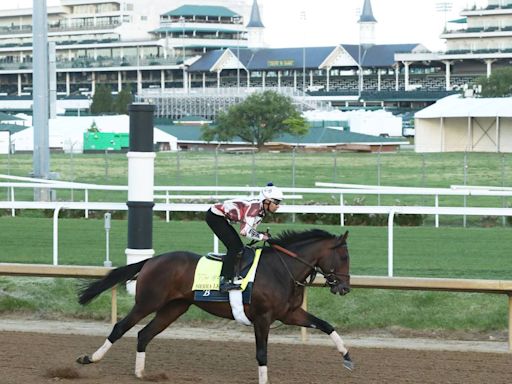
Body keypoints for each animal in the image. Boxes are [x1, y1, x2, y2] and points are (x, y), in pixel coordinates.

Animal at [77, 230, 352, 382]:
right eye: (344, 256)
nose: (345, 288)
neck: (281, 270)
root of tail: (152, 260)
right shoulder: (263, 317)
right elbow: (262, 353)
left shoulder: (290, 314)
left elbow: (326, 325)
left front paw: (347, 357)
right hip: (147, 302)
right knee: (121, 328)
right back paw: (90, 358)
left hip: (174, 308)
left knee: (144, 334)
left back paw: (142, 374)